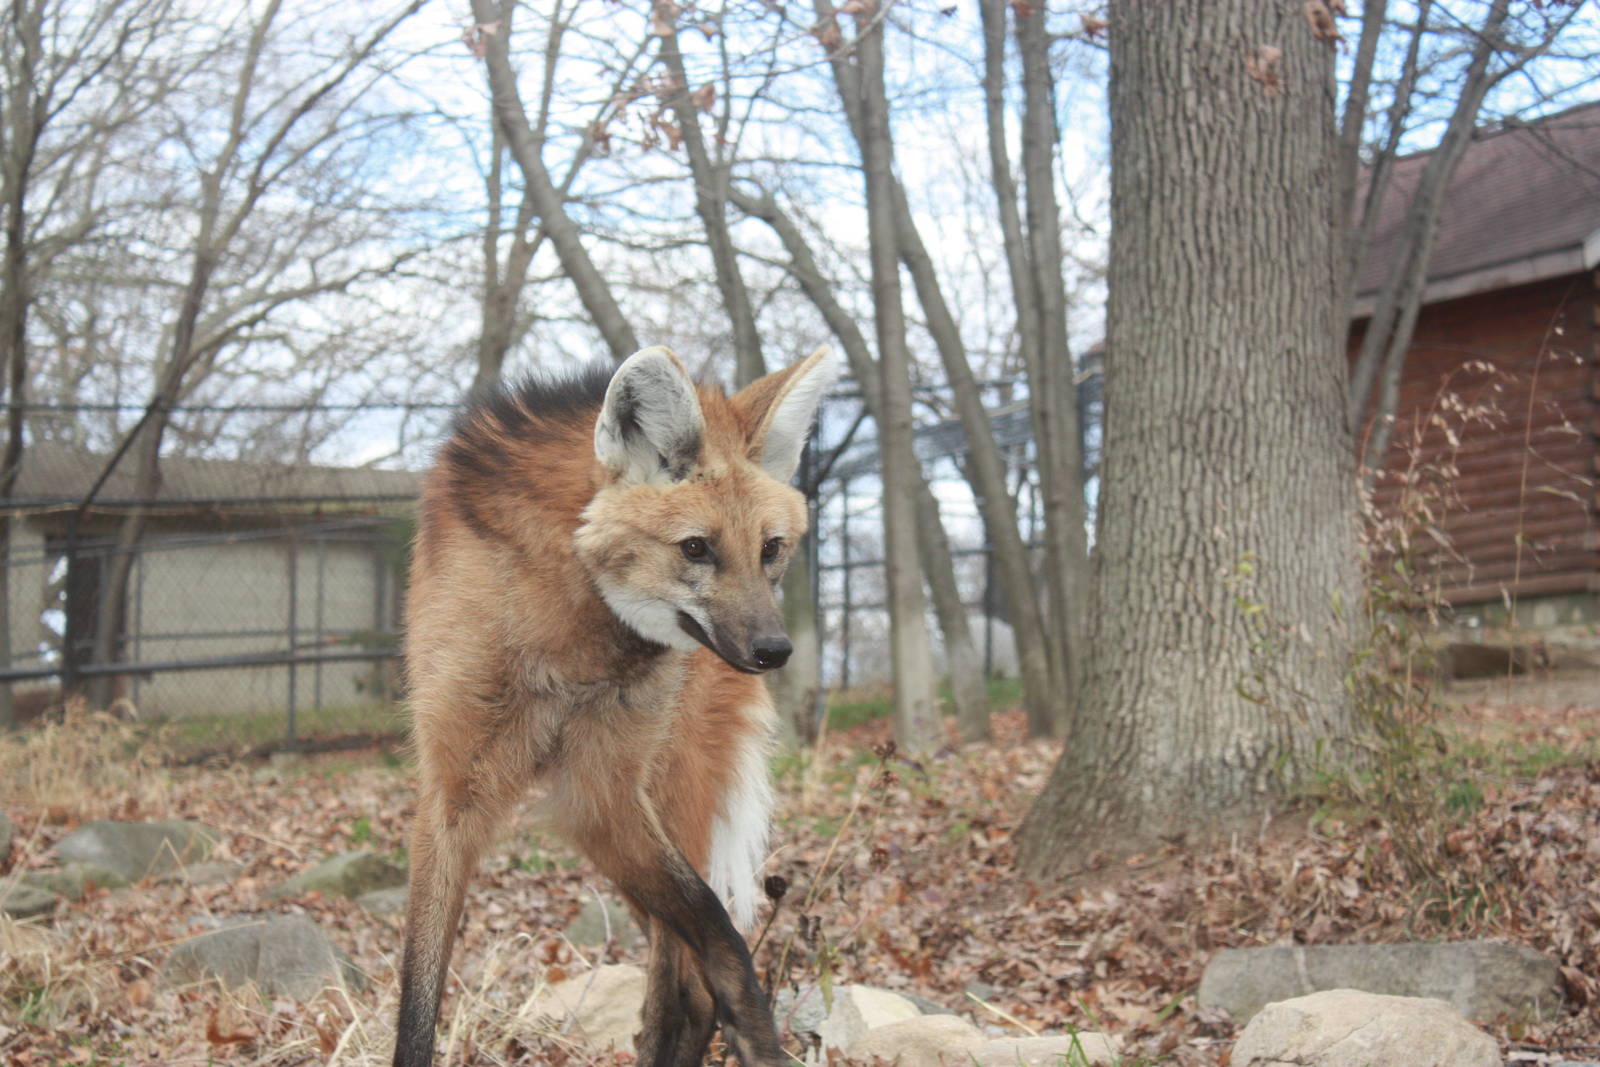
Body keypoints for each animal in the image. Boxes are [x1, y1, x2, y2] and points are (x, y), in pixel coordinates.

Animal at [392, 345, 835, 1067]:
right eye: (695, 547)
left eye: (769, 548)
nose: (774, 649)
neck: (574, 632)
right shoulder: (459, 788)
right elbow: (418, 996)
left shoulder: (604, 787)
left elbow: (717, 932)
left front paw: (759, 1037)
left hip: (670, 784)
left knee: (683, 987)